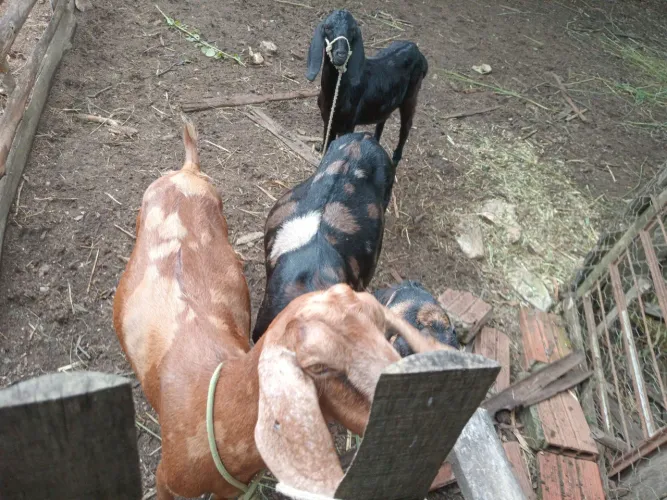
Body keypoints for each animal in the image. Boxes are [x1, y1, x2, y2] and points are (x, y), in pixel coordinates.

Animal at [305, 9, 428, 165]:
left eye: (352, 30)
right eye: (327, 28)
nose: (341, 54)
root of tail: (417, 51)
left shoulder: (348, 124)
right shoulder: (328, 120)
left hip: (411, 95)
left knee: (406, 127)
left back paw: (395, 160)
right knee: (383, 120)